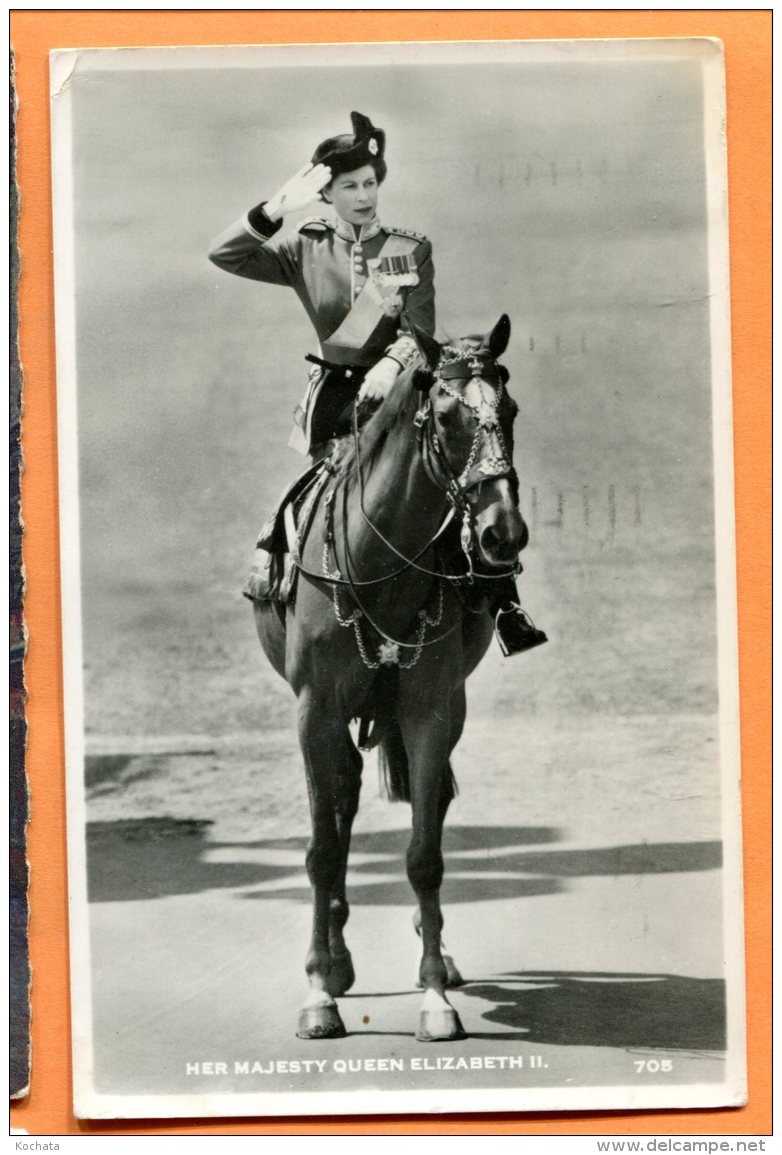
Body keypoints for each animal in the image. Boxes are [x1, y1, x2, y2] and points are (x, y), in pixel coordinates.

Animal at [254, 314, 524, 1039]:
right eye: (447, 416)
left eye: (511, 410)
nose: (502, 533)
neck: (380, 561)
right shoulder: (315, 711)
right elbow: (323, 847)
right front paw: (319, 991)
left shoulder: (429, 709)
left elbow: (424, 853)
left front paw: (434, 995)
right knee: (341, 803)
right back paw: (337, 959)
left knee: (424, 805)